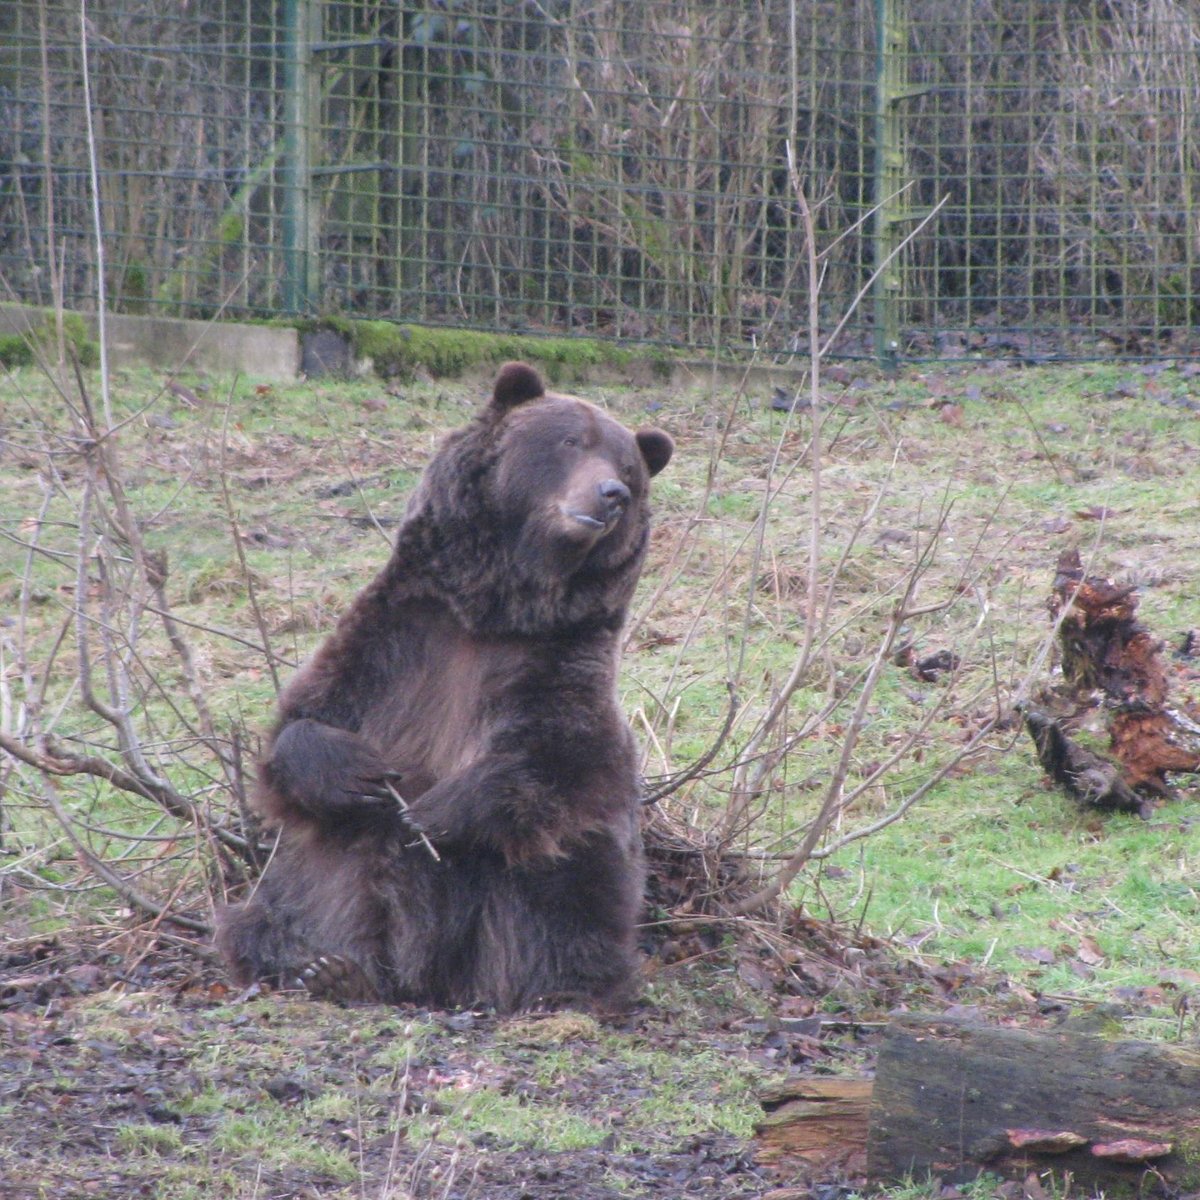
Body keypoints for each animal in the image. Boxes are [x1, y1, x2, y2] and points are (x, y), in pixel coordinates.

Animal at [218, 357, 676, 1012]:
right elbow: (304, 719)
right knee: (288, 897)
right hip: (318, 879)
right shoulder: (399, 637)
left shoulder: (556, 659)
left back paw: (559, 985)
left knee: (566, 897)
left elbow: (560, 759)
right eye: (572, 441)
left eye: (629, 469)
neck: (496, 607)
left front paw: (435, 812)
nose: (610, 495)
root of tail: (428, 980)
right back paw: (324, 968)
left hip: (543, 895)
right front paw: (357, 772)